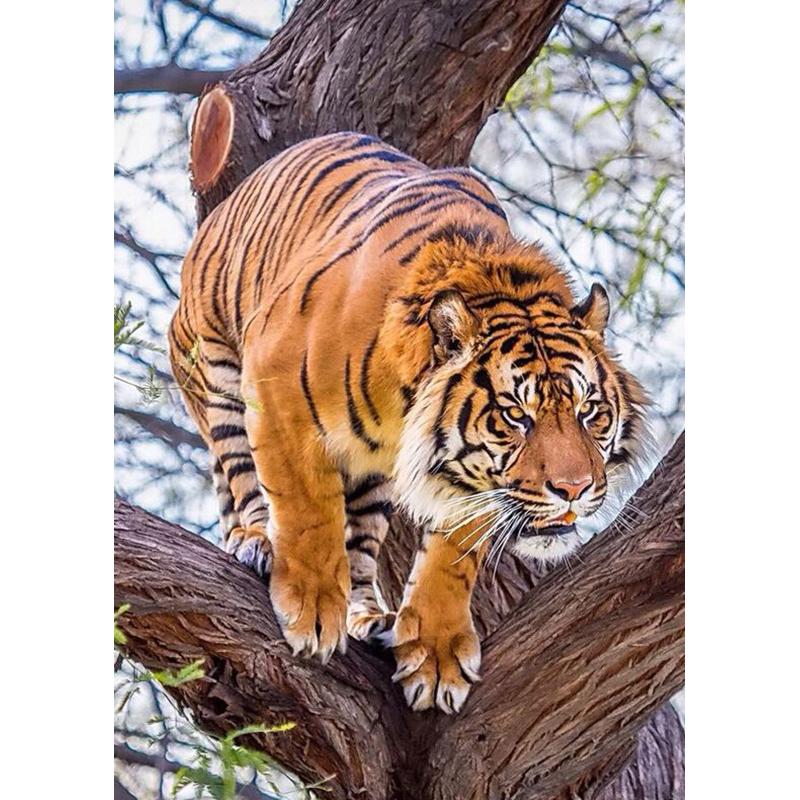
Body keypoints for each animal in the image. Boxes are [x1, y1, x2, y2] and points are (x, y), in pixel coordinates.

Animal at [168, 131, 648, 714]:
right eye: (516, 415)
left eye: (589, 412)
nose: (574, 489)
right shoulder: (274, 385)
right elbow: (306, 508)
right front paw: (311, 607)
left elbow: (453, 556)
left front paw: (436, 655)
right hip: (214, 368)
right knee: (240, 477)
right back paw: (258, 541)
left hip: (373, 477)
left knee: (359, 546)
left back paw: (369, 615)